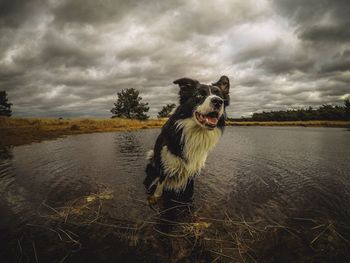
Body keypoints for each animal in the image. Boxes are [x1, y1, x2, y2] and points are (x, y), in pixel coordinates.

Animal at [143, 76, 230, 206]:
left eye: (220, 96)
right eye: (199, 95)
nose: (218, 101)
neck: (196, 133)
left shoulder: (192, 170)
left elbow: (189, 191)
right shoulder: (165, 164)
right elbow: (159, 186)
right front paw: (155, 197)